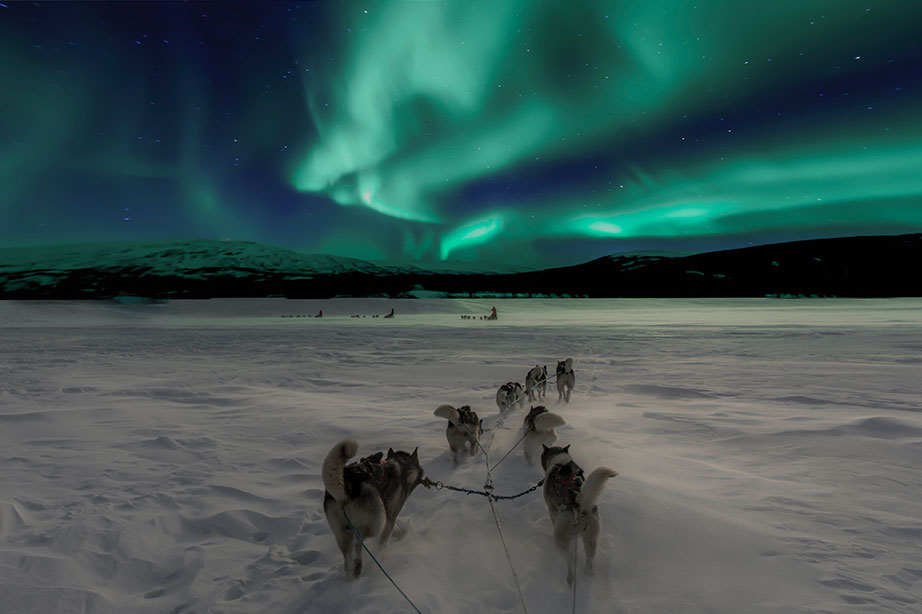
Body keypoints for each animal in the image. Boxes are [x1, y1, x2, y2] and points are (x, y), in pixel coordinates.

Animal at [320, 442, 424, 576]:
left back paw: (353, 570)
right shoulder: (389, 518)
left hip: (341, 532)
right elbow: (384, 542)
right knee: (358, 543)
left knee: (347, 557)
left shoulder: (389, 516)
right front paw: (382, 556)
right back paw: (359, 564)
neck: (402, 469)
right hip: (377, 523)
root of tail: (348, 482)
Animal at [540, 446, 620, 584]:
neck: (560, 462)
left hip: (561, 541)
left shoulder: (552, 509)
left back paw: (570, 577)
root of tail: (581, 505)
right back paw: (588, 572)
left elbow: (553, 519)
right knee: (589, 560)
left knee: (570, 558)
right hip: (591, 539)